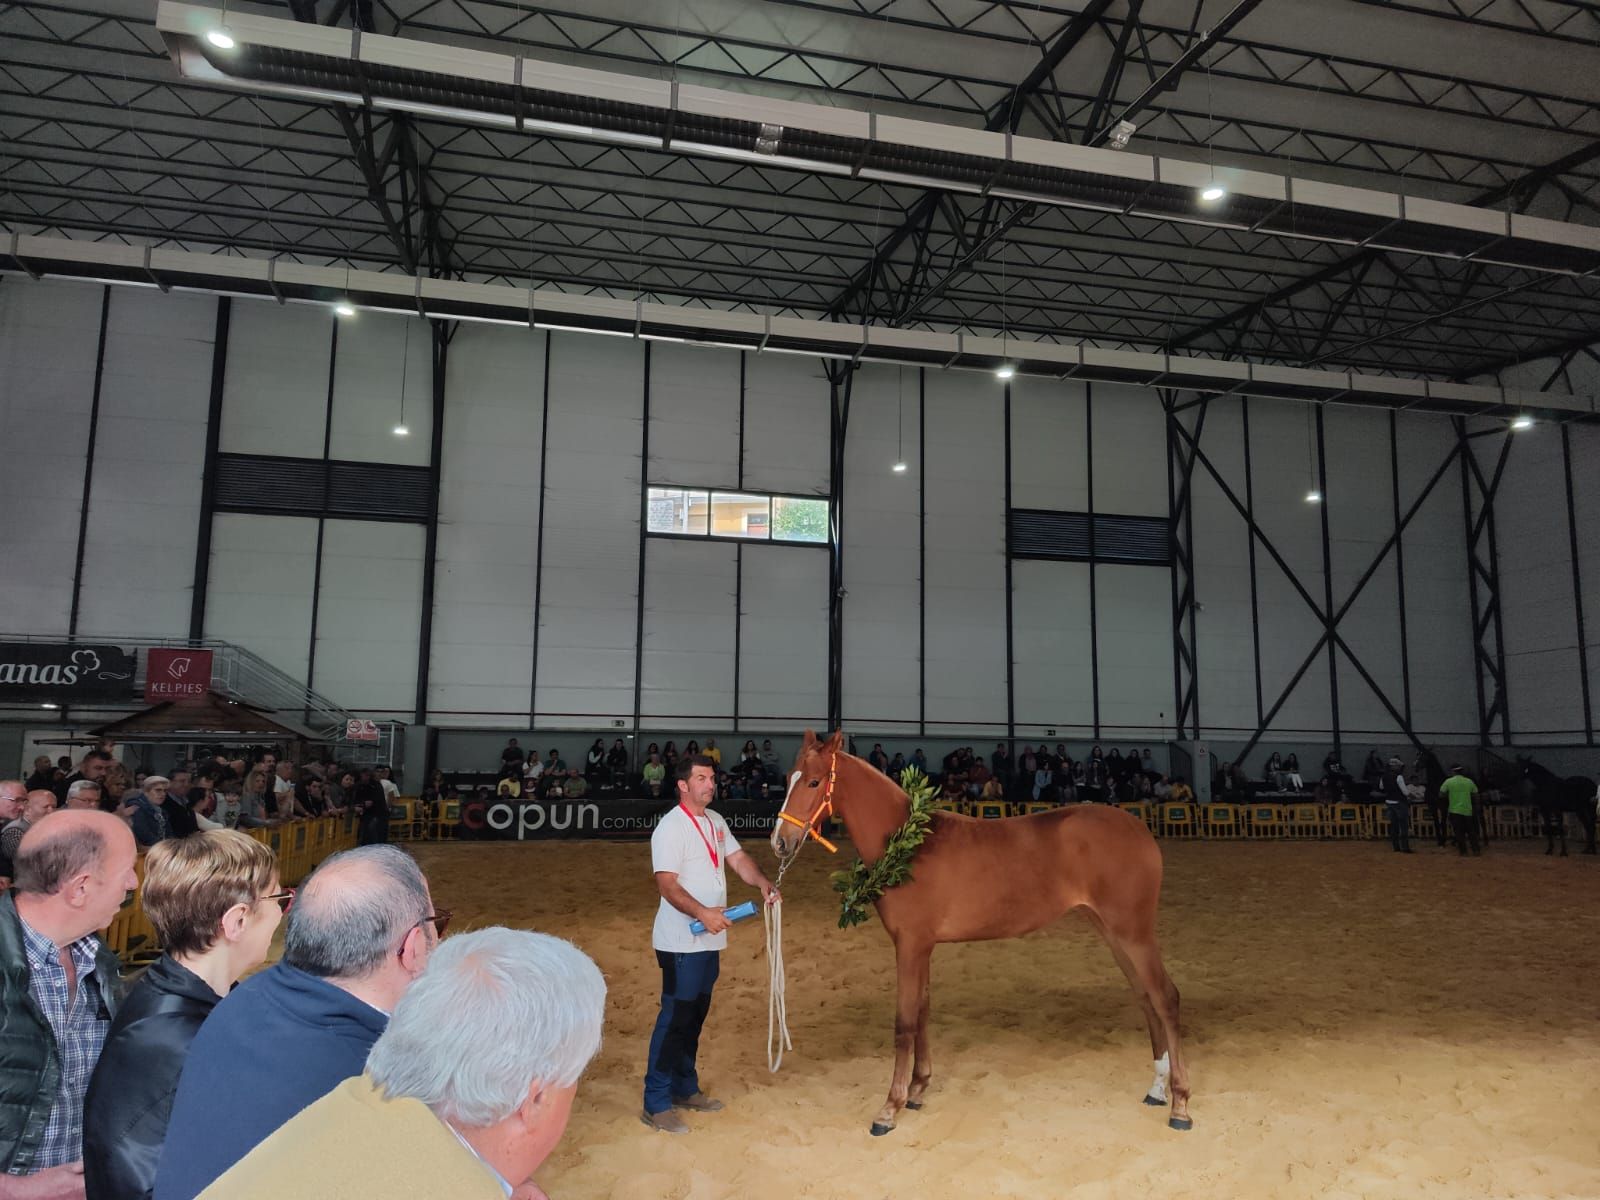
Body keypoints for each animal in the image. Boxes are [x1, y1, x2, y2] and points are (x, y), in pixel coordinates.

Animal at [774, 732, 1190, 1139]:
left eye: (813, 782)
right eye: (788, 778)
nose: (780, 841)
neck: (909, 845)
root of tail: (1139, 828)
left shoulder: (910, 945)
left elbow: (905, 1022)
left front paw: (890, 1107)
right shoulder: (922, 948)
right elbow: (922, 1011)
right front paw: (918, 1088)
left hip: (1133, 933)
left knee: (1166, 997)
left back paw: (1180, 1104)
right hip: (1113, 932)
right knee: (1145, 997)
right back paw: (1157, 1089)